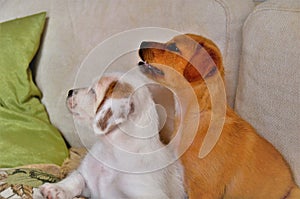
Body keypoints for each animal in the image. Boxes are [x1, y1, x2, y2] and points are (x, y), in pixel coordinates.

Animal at [39, 72, 185, 199]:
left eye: (93, 91)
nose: (69, 91)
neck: (111, 153)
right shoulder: (88, 180)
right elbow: (76, 178)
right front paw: (56, 189)